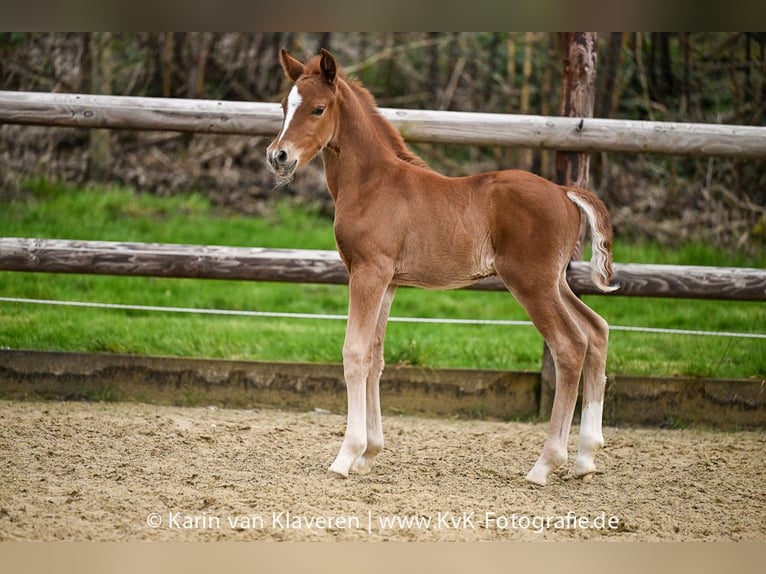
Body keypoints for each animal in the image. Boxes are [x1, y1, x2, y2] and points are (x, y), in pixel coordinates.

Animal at [266, 48, 619, 486]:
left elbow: (355, 353)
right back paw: (586, 458)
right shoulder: (388, 280)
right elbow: (376, 358)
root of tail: (564, 191)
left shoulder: (367, 272)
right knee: (597, 330)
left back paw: (545, 464)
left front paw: (346, 456)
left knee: (570, 347)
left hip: (531, 283)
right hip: (556, 281)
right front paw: (369, 454)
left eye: (318, 108)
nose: (278, 157)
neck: (372, 183)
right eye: (284, 106)